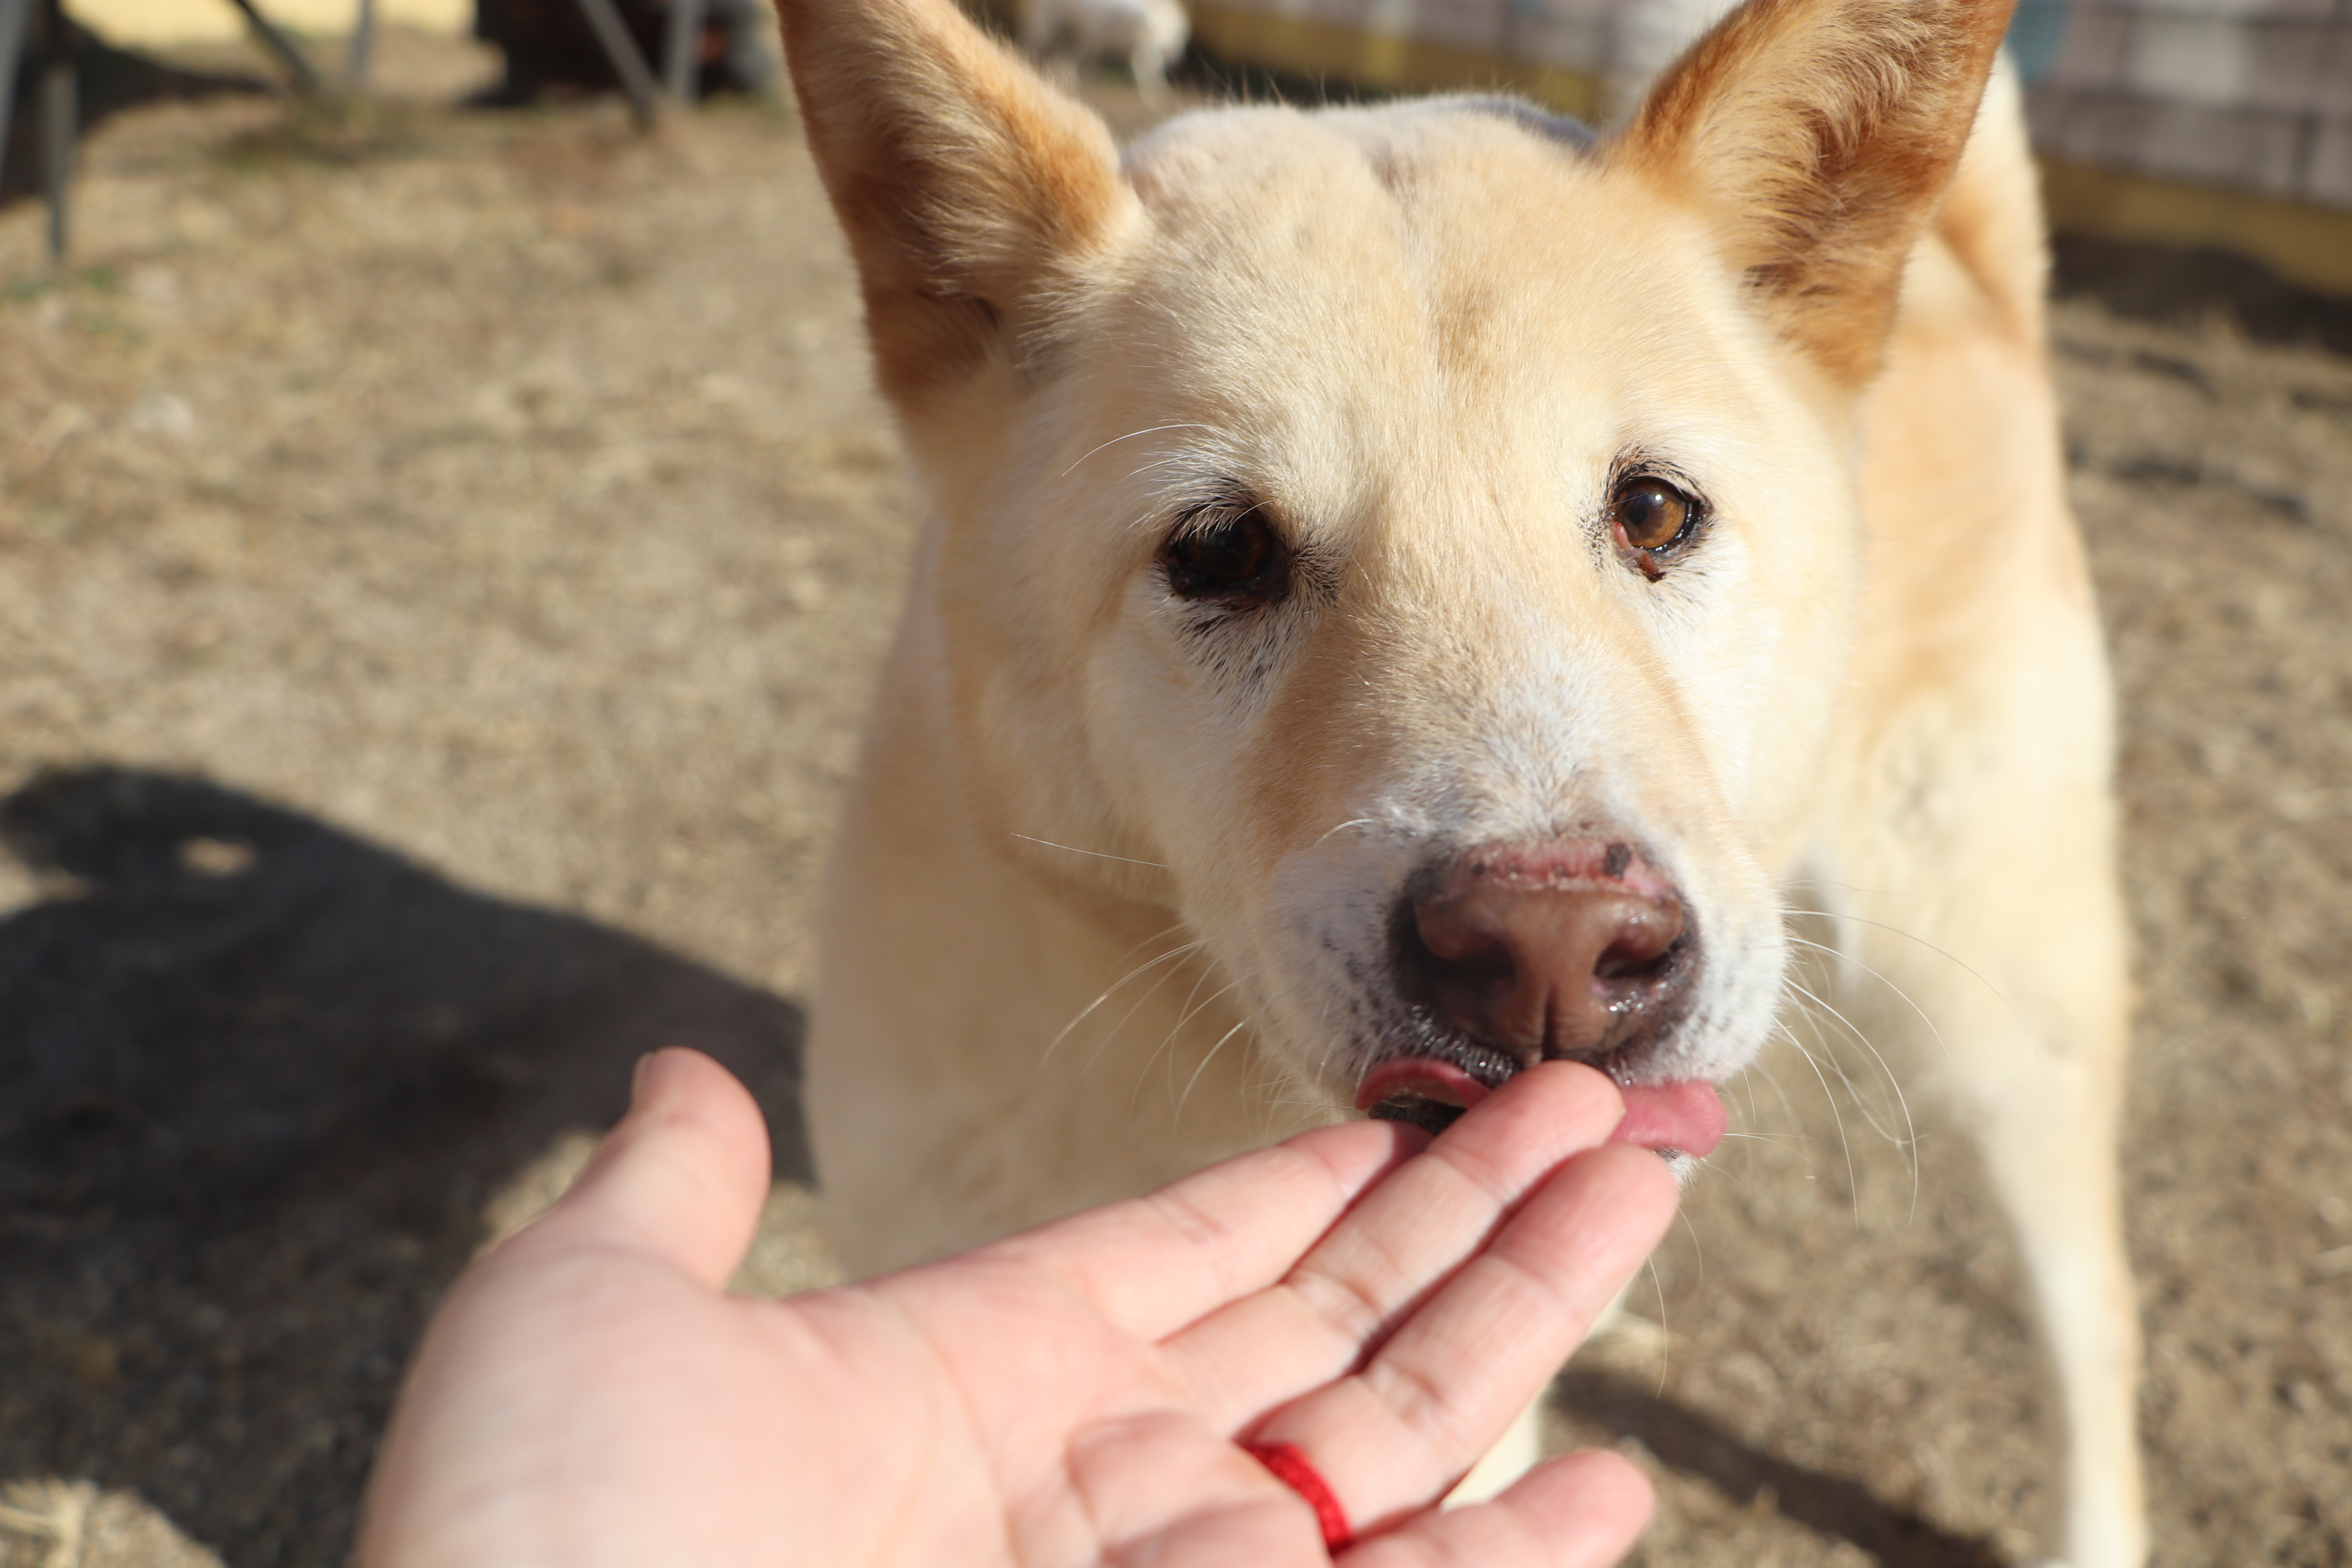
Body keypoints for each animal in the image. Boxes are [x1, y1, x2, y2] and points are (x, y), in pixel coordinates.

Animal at [781, 0, 2145, 1561]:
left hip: (1997, 1008)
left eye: (1654, 512)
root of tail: (1970, 287)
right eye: (1219, 550)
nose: (1553, 947)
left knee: (2094, 1312)